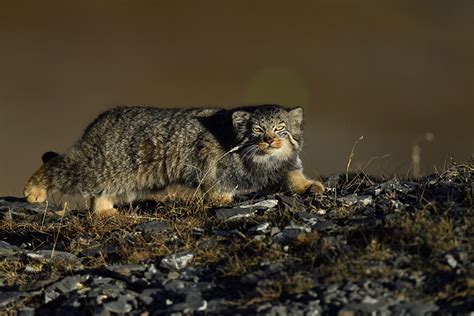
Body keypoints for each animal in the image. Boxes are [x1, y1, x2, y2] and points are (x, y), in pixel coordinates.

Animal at [24, 105, 324, 216]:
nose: (270, 141)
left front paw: (310, 186)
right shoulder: (208, 160)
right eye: (258, 130)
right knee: (58, 165)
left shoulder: (286, 166)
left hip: (127, 180)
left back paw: (106, 211)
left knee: (99, 195)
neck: (263, 161)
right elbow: (216, 186)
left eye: (281, 129)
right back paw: (33, 189)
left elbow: (294, 177)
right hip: (100, 166)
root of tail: (100, 119)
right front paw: (221, 199)